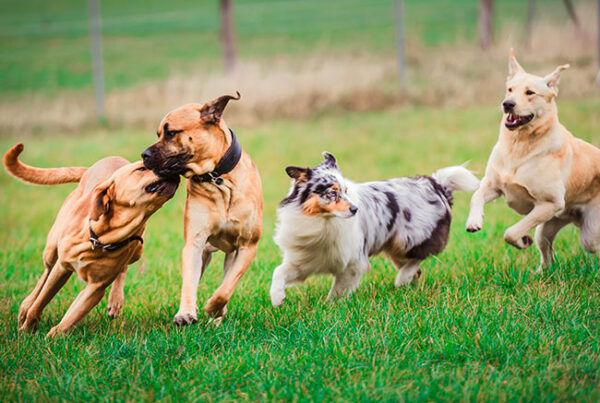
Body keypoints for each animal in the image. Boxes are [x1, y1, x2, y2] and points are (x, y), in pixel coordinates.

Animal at [4, 144, 178, 340]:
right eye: (141, 169)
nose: (172, 164)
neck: (102, 238)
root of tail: (89, 169)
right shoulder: (62, 267)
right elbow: (42, 300)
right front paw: (26, 332)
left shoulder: (95, 288)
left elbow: (70, 319)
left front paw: (52, 339)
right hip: (51, 247)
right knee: (45, 275)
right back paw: (25, 306)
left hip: (138, 249)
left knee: (124, 268)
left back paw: (115, 300)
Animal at [142, 92, 264, 326]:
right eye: (158, 133)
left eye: (171, 133)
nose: (144, 154)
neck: (218, 178)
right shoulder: (194, 243)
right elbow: (189, 282)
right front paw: (186, 313)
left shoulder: (248, 246)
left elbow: (226, 288)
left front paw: (214, 307)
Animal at [468, 50, 600, 272]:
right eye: (509, 90)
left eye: (530, 92)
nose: (507, 104)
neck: (519, 145)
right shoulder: (493, 185)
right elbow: (475, 196)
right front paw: (474, 221)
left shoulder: (550, 204)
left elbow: (511, 232)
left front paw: (522, 240)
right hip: (546, 229)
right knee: (547, 256)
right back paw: (540, 273)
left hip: (590, 234)